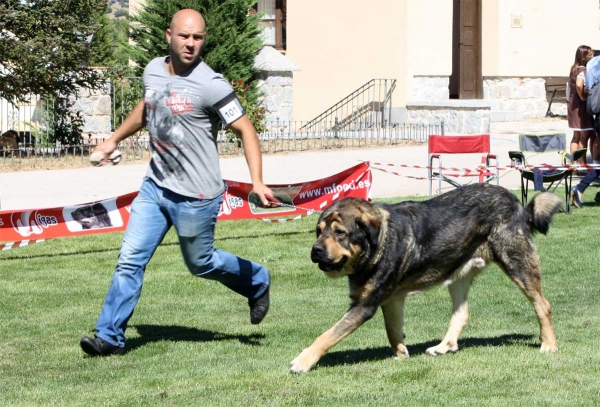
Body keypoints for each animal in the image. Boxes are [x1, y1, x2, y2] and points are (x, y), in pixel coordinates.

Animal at [290, 184, 564, 372]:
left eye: (339, 233)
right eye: (318, 231)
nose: (315, 250)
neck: (378, 242)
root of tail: (517, 203)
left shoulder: (364, 305)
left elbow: (328, 335)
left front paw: (303, 360)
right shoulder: (390, 300)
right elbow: (392, 330)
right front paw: (401, 354)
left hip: (517, 264)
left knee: (543, 305)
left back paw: (549, 345)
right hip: (458, 273)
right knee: (461, 314)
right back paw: (444, 346)